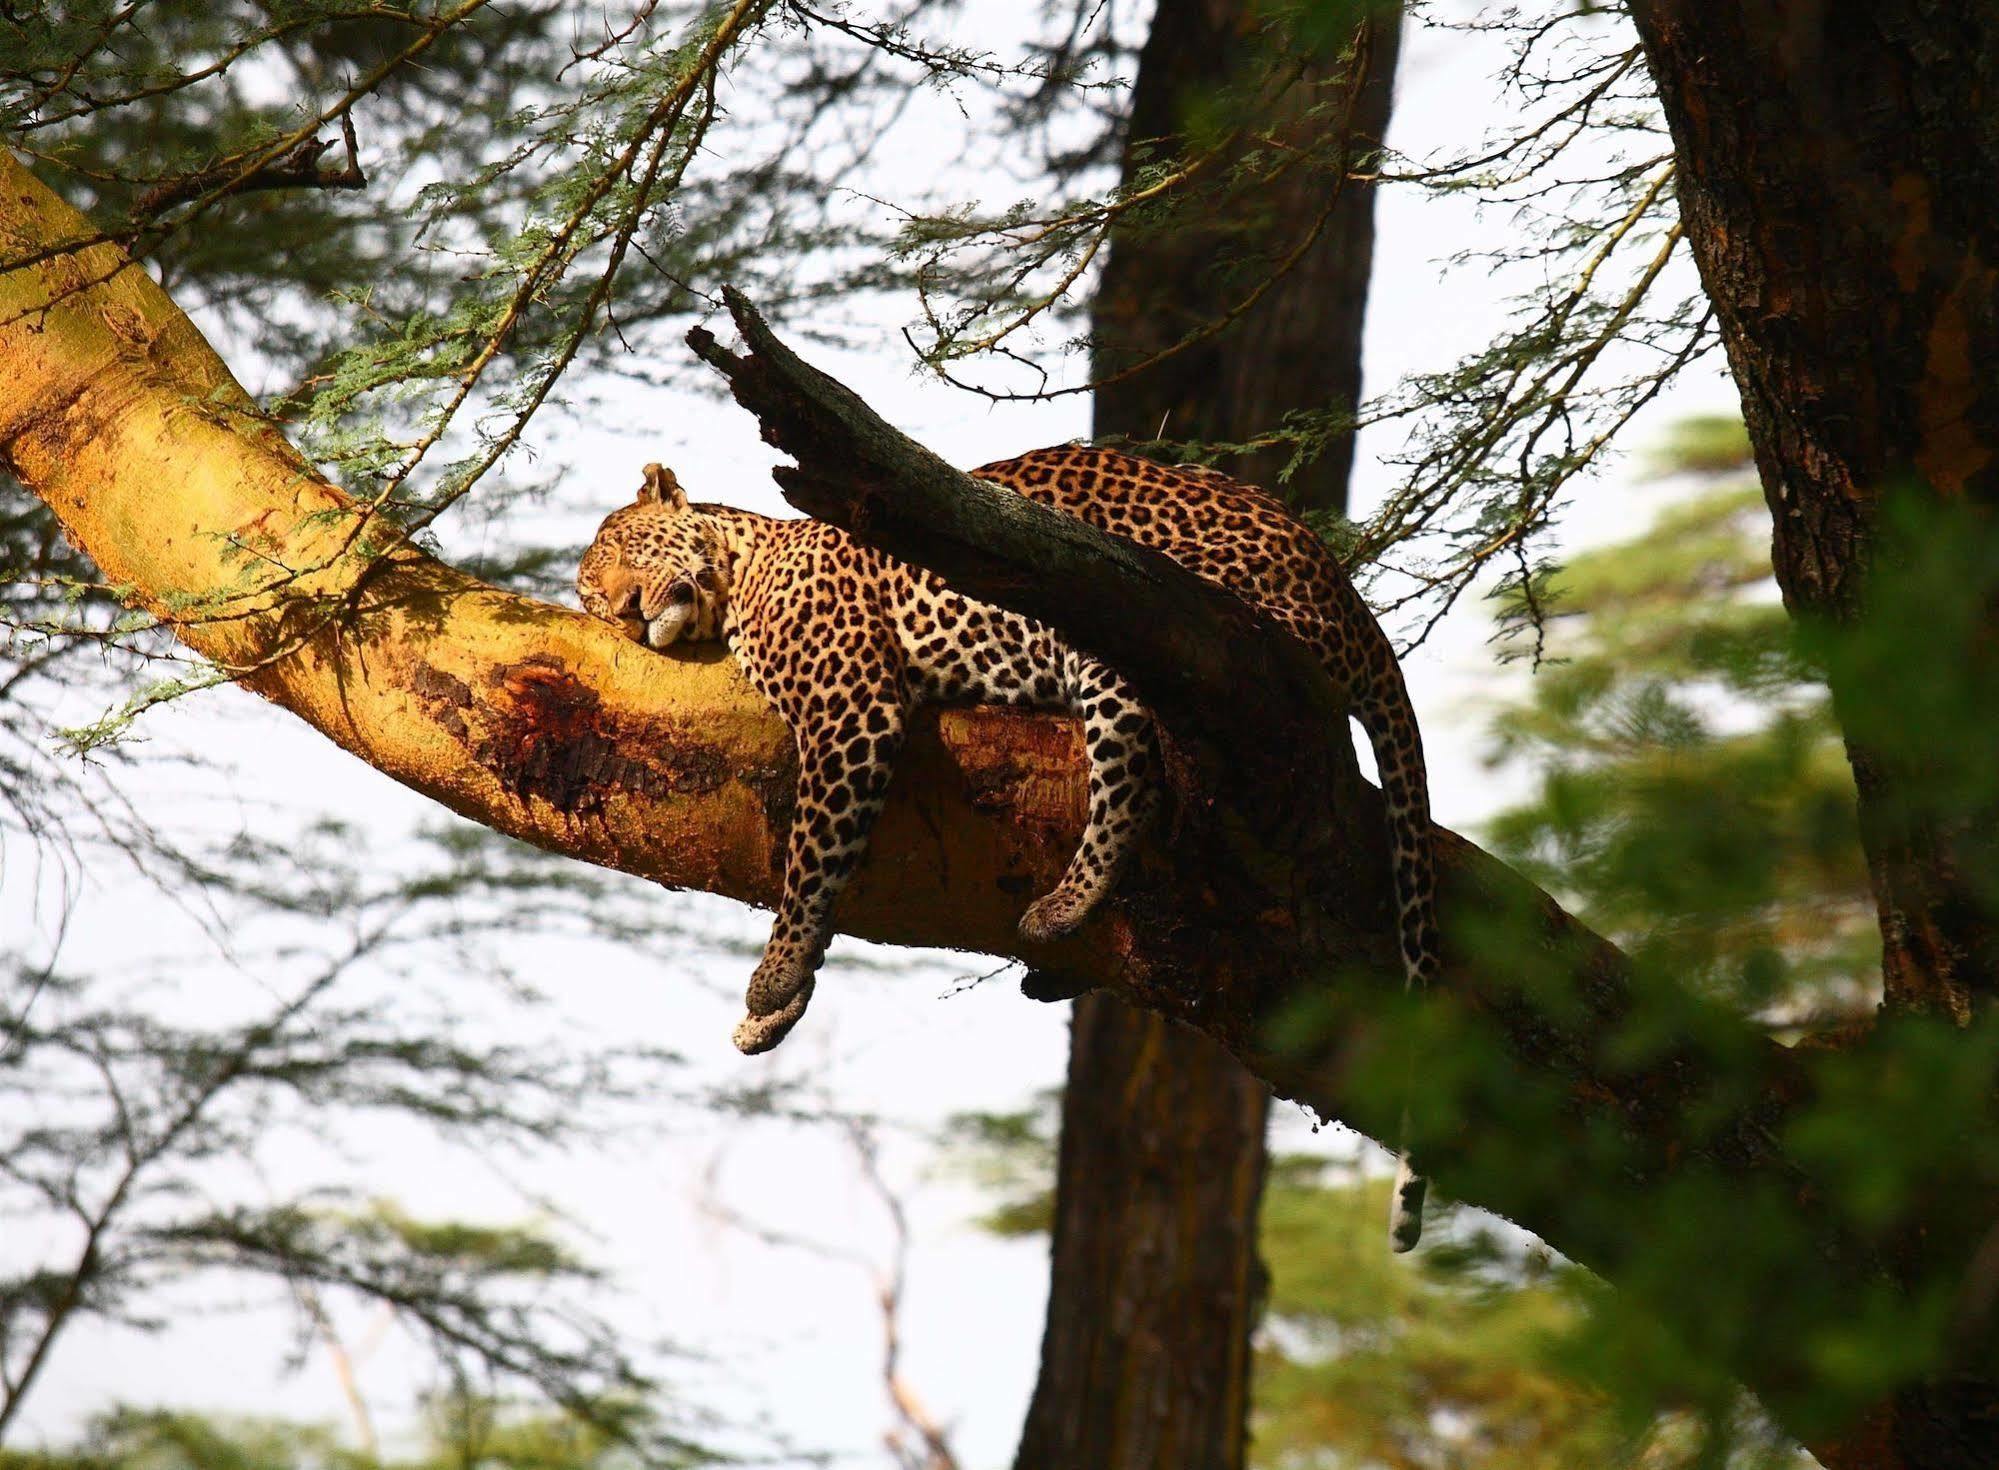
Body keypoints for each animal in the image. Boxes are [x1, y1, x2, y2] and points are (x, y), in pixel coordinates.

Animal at [579, 442, 1439, 1248]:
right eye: (590, 598)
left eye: (625, 548)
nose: (621, 611)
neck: (744, 568)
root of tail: (1341, 592)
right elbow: (827, 873)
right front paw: (777, 1013)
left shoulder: (848, 709)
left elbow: (812, 858)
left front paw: (774, 976)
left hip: (1115, 619)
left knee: (1133, 774)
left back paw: (1062, 910)